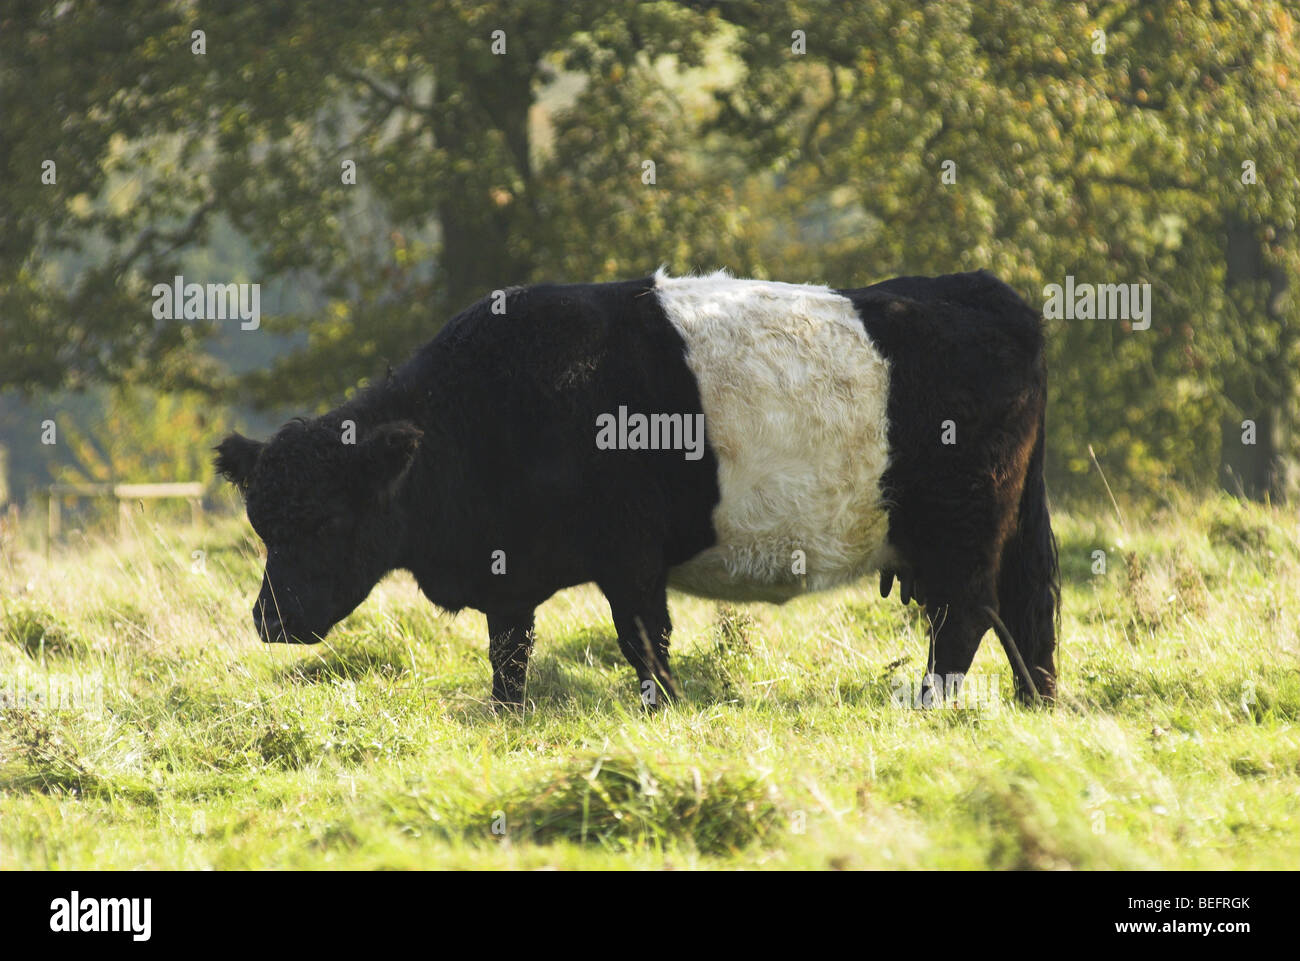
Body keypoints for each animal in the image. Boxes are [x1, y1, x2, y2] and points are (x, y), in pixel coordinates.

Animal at [215, 268, 1060, 709]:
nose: (268, 620)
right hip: (1011, 522)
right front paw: (507, 714)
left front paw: (664, 709)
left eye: (325, 521)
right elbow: (509, 651)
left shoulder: (628, 554)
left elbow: (643, 639)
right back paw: (1036, 701)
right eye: (262, 524)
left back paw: (933, 704)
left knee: (966, 616)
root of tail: (979, 289)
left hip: (961, 526)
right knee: (1029, 608)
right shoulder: (510, 572)